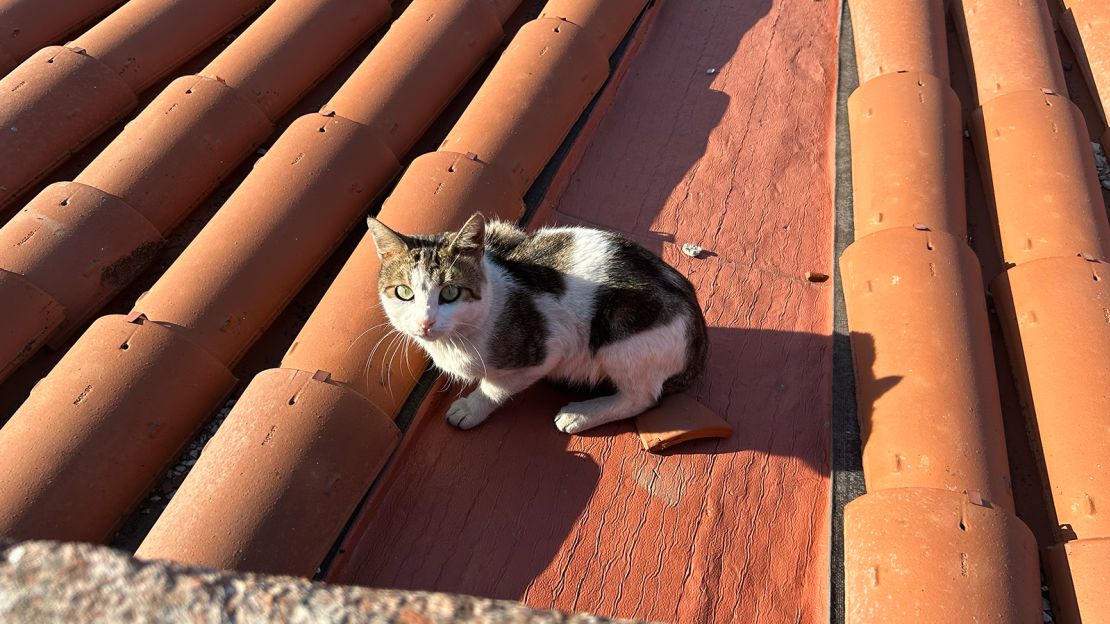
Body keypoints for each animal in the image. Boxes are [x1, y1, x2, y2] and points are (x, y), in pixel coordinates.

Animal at [368, 209, 705, 433]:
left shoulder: (548, 348)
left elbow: (494, 387)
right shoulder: (504, 232)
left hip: (621, 332)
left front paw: (470, 409)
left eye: (450, 292)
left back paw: (580, 415)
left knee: (643, 398)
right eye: (403, 292)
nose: (425, 323)